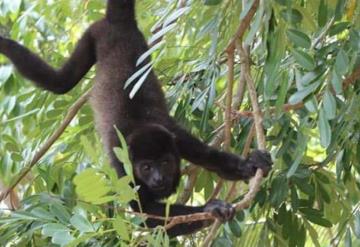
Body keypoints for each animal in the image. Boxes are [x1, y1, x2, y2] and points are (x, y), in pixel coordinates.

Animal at [0, 0, 272, 236]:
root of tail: (117, 22)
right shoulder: (122, 164)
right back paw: (6, 44)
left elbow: (211, 158)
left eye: (165, 163)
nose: (159, 179)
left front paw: (252, 164)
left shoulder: (178, 139)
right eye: (146, 167)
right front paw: (211, 208)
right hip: (94, 33)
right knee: (61, 82)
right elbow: (147, 214)